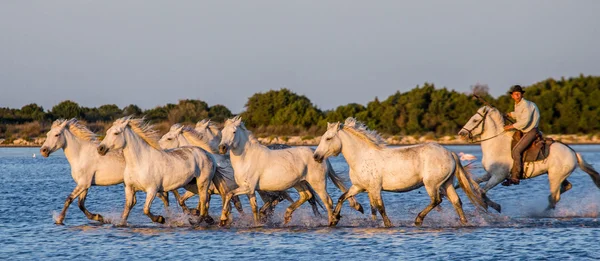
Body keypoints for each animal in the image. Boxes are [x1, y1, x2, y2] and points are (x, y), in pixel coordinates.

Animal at [40, 119, 168, 223]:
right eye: (47, 134)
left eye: (57, 134)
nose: (43, 150)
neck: (80, 154)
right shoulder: (85, 185)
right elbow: (80, 204)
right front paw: (99, 217)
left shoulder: (83, 183)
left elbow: (69, 199)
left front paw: (59, 219)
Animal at [218, 116, 364, 225]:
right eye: (222, 132)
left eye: (234, 132)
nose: (222, 148)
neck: (246, 158)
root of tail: (319, 156)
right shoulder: (250, 190)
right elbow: (254, 208)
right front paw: (257, 224)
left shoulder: (248, 188)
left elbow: (229, 194)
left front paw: (223, 219)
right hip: (299, 182)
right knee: (307, 196)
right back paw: (288, 215)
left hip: (318, 184)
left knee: (327, 201)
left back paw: (331, 222)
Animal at [312, 117, 486, 225]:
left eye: (328, 138)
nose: (316, 156)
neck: (361, 157)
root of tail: (450, 153)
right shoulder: (359, 187)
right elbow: (343, 197)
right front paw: (335, 219)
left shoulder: (375, 188)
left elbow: (380, 207)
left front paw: (388, 224)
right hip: (446, 183)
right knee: (456, 201)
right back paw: (464, 222)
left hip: (432, 184)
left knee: (437, 201)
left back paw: (418, 219)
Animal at [460, 106, 600, 211]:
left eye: (475, 120)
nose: (461, 134)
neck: (496, 143)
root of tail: (573, 152)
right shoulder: (490, 174)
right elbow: (476, 184)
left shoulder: (499, 176)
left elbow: (482, 191)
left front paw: (493, 205)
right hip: (559, 175)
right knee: (566, 188)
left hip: (554, 177)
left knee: (555, 198)